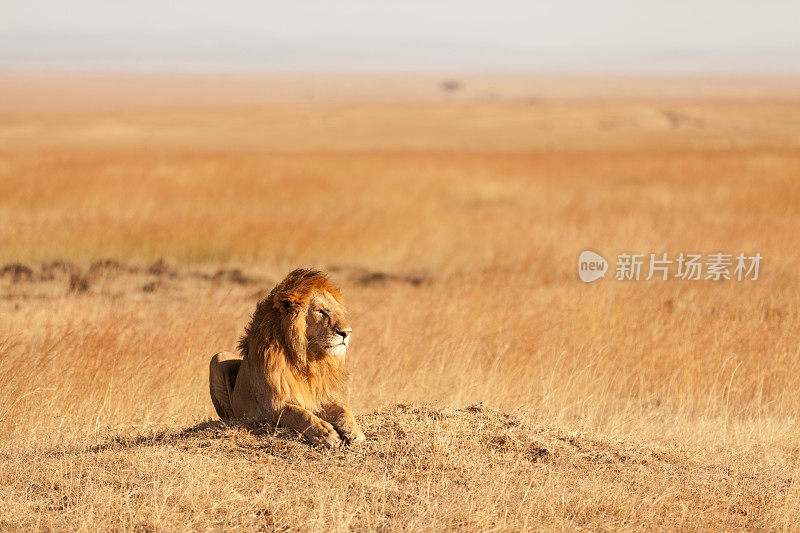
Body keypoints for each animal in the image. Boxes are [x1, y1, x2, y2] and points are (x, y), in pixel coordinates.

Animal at [209, 268, 366, 446]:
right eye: (320, 311)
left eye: (337, 311)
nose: (347, 333)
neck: (306, 361)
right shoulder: (270, 406)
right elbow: (299, 413)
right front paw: (325, 433)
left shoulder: (320, 396)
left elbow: (343, 407)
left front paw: (354, 431)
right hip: (217, 357)